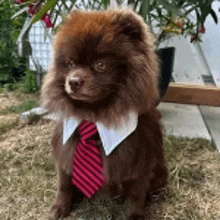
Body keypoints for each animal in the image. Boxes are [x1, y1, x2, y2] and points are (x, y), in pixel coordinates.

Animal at [41, 7, 168, 219]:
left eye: (100, 65)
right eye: (70, 63)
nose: (73, 81)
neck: (94, 116)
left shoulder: (140, 159)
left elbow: (137, 193)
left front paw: (136, 215)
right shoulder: (65, 150)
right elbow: (64, 183)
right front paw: (60, 207)